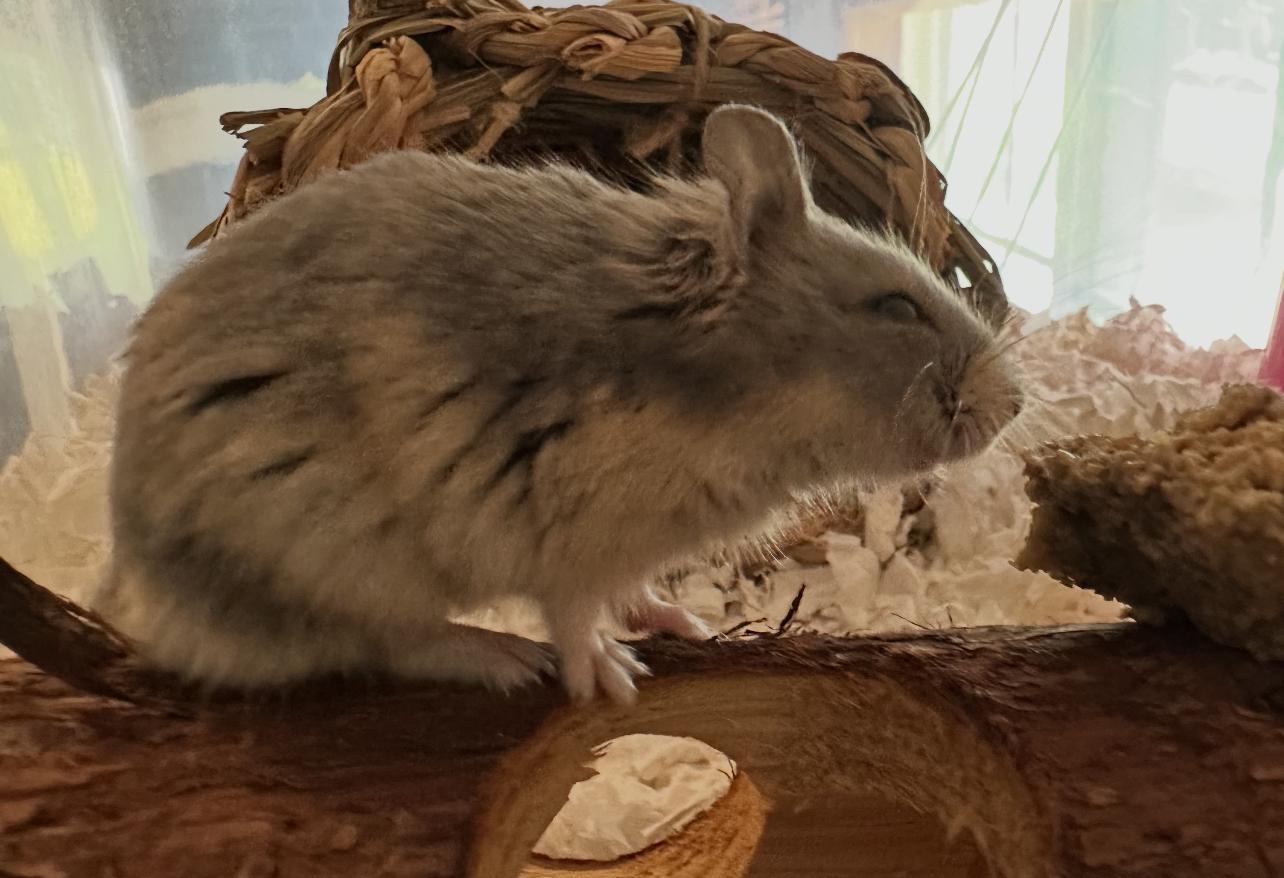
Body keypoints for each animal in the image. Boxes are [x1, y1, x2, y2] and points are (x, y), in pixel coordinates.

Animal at [100, 105, 1022, 705]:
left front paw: (683, 623)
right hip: (330, 555)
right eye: (896, 307)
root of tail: (138, 585)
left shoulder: (629, 546)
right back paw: (504, 658)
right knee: (384, 641)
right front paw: (612, 681)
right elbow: (575, 613)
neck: (744, 402)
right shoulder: (570, 536)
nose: (1012, 405)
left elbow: (633, 589)